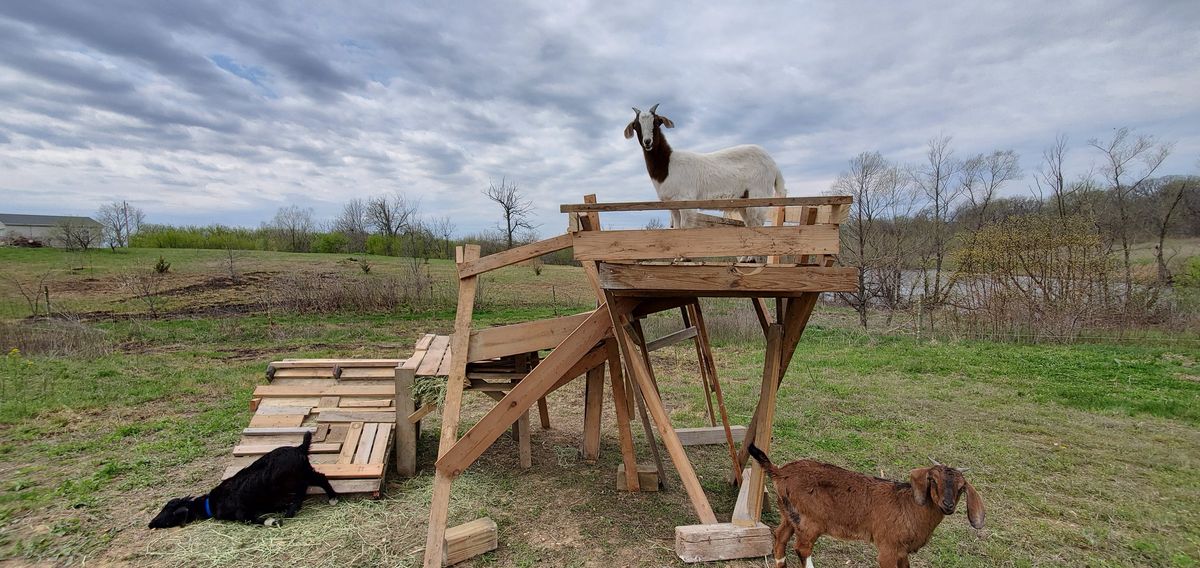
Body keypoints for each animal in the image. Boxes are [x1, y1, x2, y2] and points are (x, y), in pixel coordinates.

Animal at [148, 432, 338, 529]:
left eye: (168, 515)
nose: (151, 524)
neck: (211, 503)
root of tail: (299, 448)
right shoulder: (265, 503)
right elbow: (273, 507)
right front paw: (280, 511)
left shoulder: (241, 512)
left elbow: (249, 519)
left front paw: (273, 521)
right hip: (304, 472)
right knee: (319, 479)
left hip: (294, 478)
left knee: (306, 487)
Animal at [624, 104, 786, 231]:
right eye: (636, 125)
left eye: (657, 122)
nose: (648, 142)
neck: (668, 164)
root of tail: (774, 164)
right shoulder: (671, 204)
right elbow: (676, 228)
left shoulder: (686, 200)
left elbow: (684, 227)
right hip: (744, 201)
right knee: (750, 223)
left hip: (758, 194)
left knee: (757, 223)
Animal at [747, 444, 984, 568]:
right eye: (933, 480)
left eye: (962, 488)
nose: (948, 505)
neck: (909, 506)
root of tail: (780, 472)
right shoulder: (888, 547)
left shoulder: (902, 551)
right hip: (810, 519)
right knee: (802, 548)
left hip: (790, 514)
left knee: (780, 537)